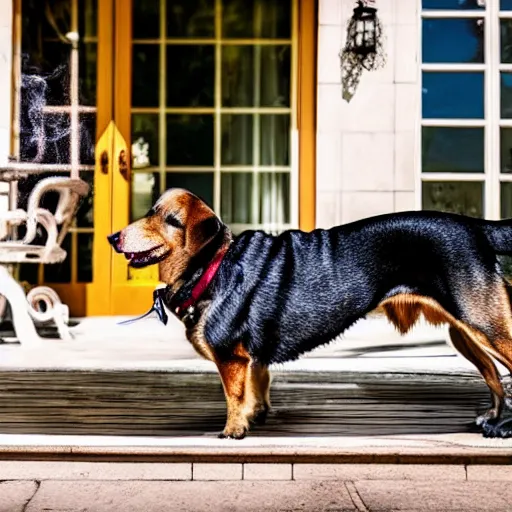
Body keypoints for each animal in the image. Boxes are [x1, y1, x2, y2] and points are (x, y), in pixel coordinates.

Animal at [107, 189, 512, 440]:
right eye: (150, 213)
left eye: (169, 219)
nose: (112, 237)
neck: (213, 264)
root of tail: (475, 226)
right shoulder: (253, 360)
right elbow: (258, 389)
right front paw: (256, 418)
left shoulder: (231, 358)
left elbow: (234, 398)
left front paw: (233, 432)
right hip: (466, 332)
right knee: (493, 376)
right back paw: (493, 419)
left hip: (486, 326)